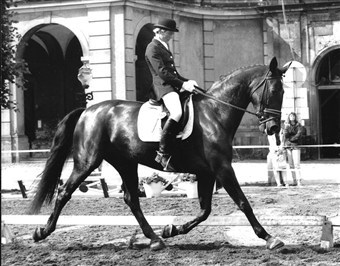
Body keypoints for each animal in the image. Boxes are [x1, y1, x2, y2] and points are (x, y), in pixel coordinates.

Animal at [28, 56, 290, 251]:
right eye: (274, 90)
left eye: (284, 91)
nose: (273, 128)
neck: (215, 112)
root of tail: (87, 111)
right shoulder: (222, 168)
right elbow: (243, 203)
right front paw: (270, 238)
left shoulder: (207, 172)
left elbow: (205, 210)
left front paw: (171, 229)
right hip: (87, 161)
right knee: (64, 191)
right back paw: (41, 232)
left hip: (126, 163)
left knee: (131, 199)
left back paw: (155, 239)